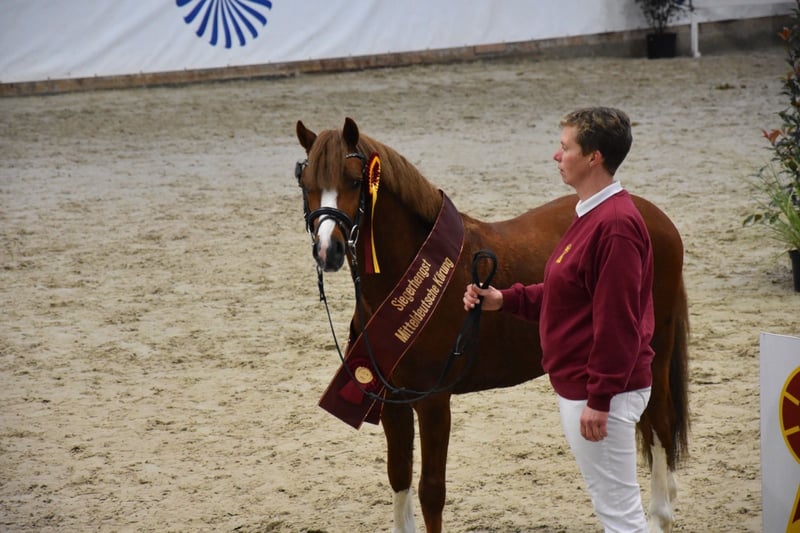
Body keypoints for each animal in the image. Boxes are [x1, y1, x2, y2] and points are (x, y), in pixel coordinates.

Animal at [294, 117, 689, 533]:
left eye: (355, 181)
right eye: (306, 184)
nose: (328, 251)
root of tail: (653, 217)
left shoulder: (433, 402)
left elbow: (431, 491)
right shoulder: (391, 400)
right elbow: (398, 475)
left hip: (653, 354)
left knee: (660, 422)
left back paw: (661, 513)